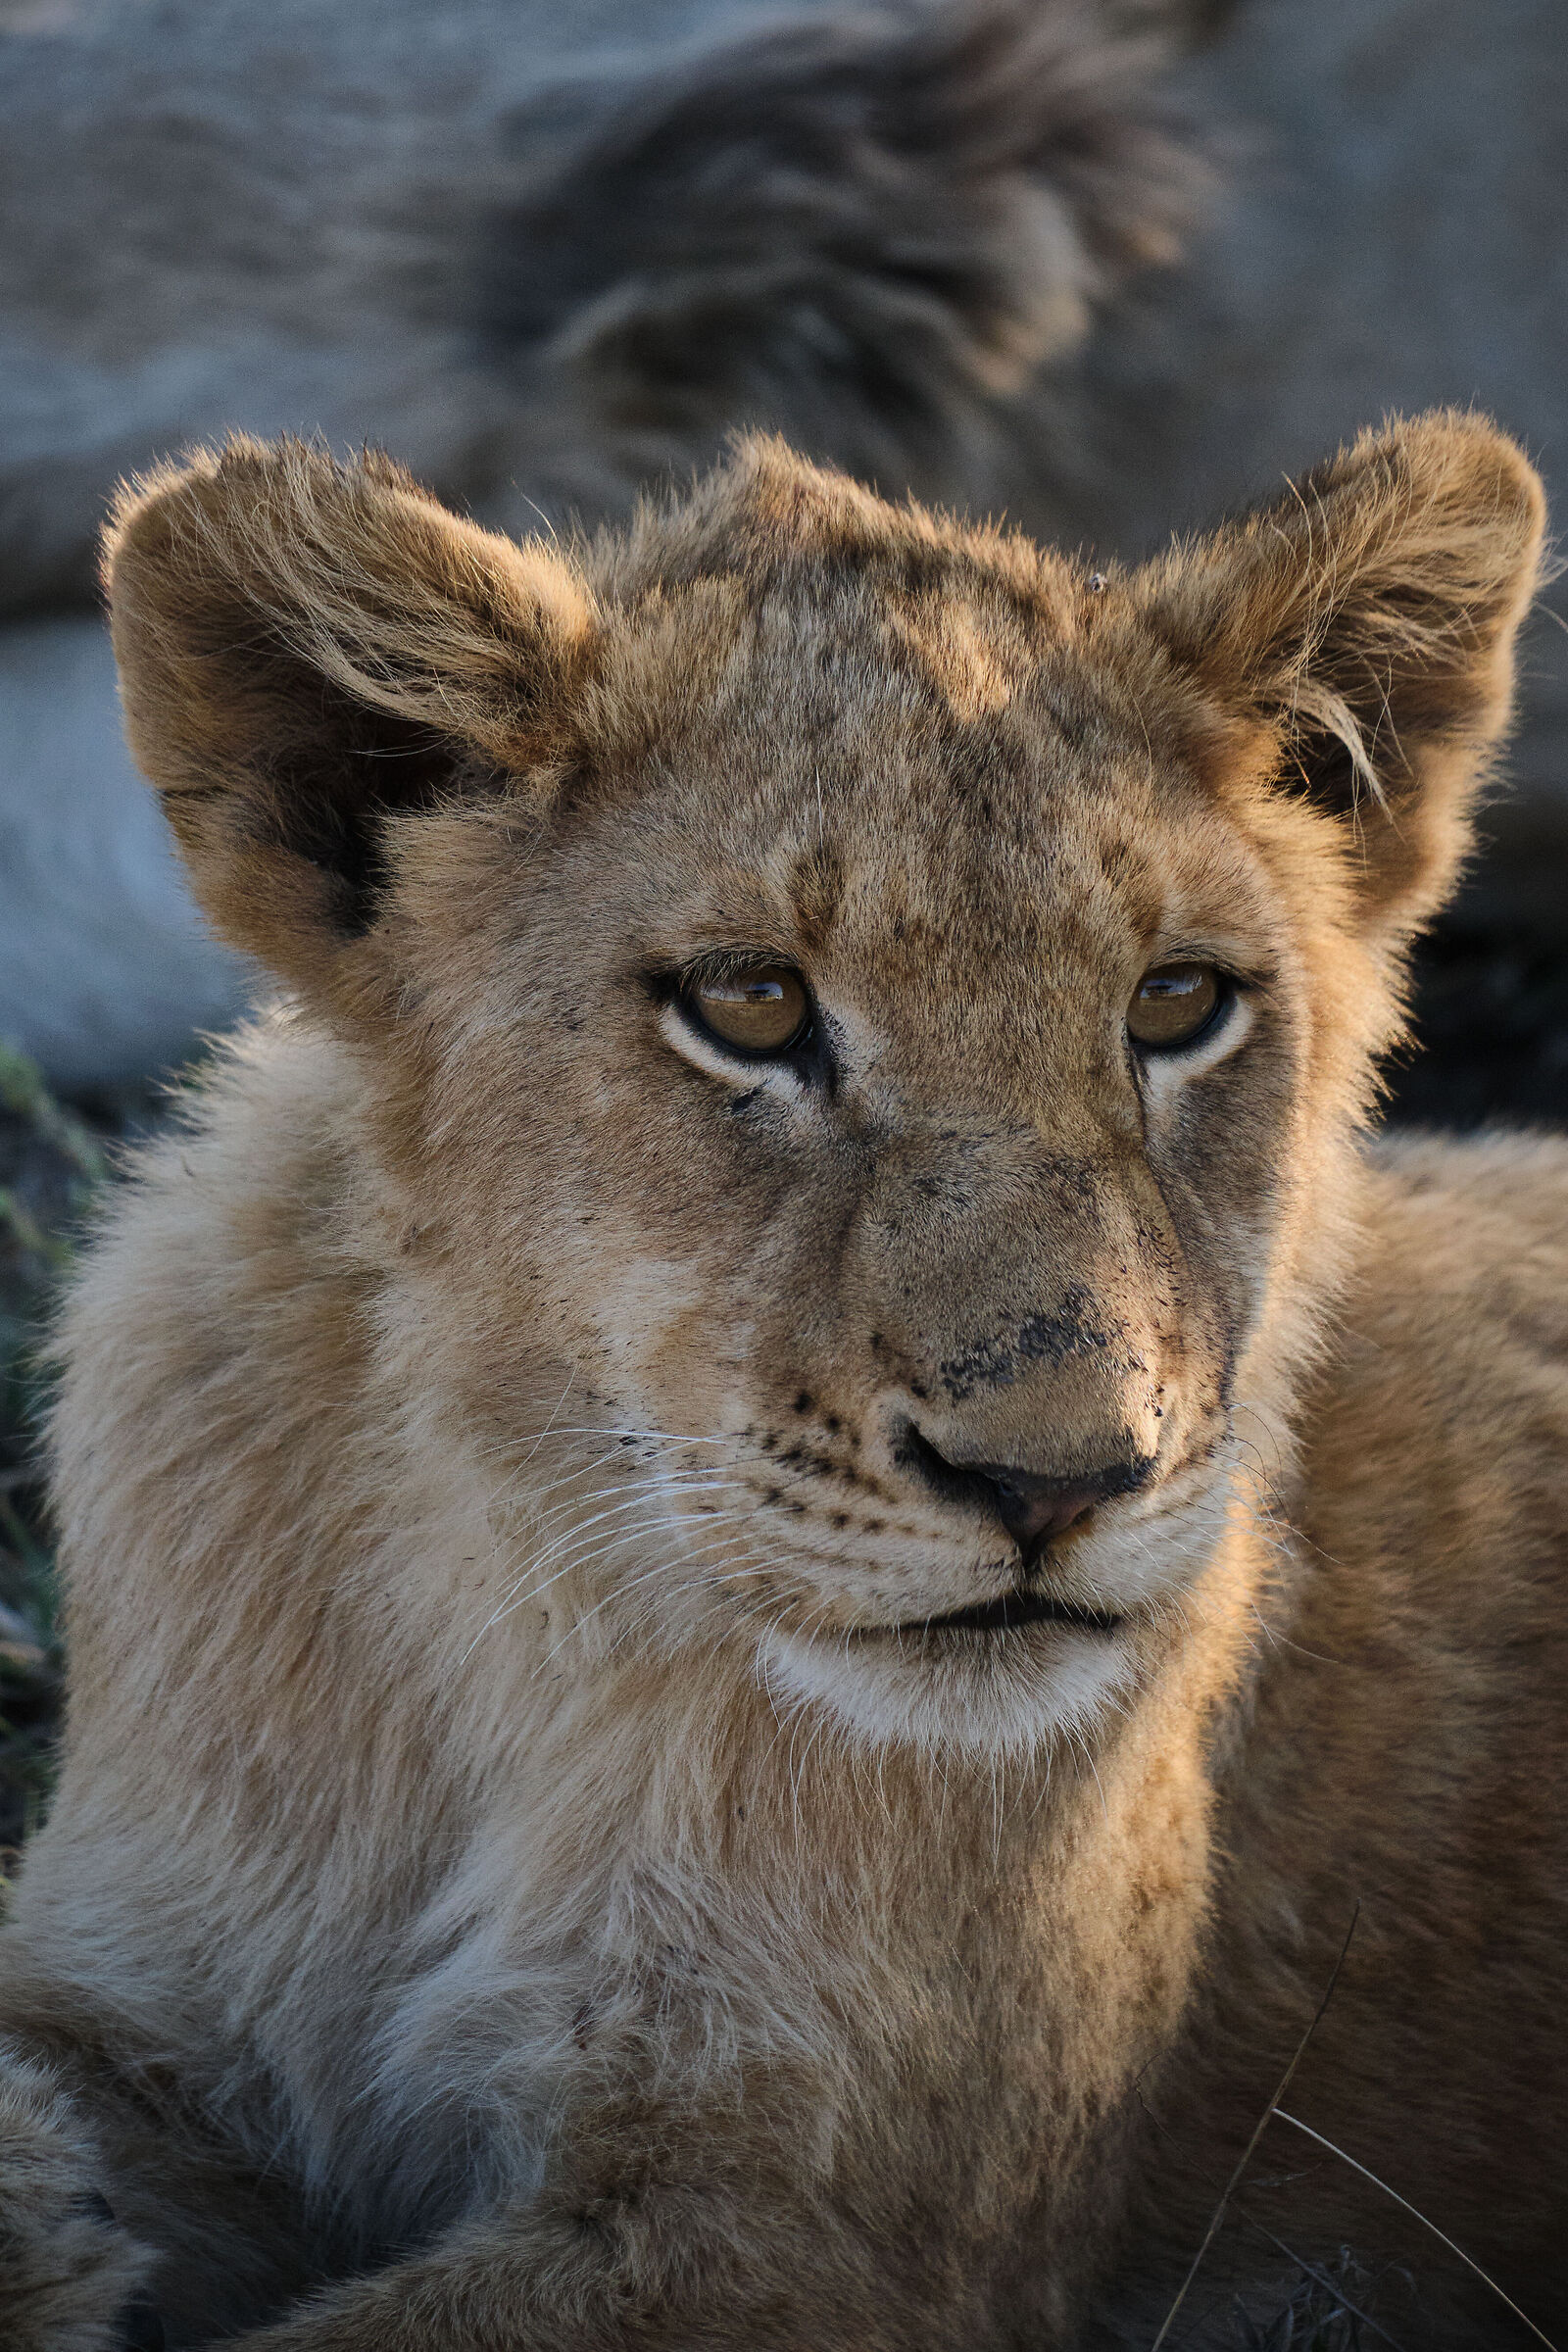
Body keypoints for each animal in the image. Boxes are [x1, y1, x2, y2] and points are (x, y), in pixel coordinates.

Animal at [0, 410, 1563, 2349]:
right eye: (749, 1004)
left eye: (1177, 1003)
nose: (1056, 1480)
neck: (520, 1626)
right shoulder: (138, 2015)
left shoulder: (796, 2233)